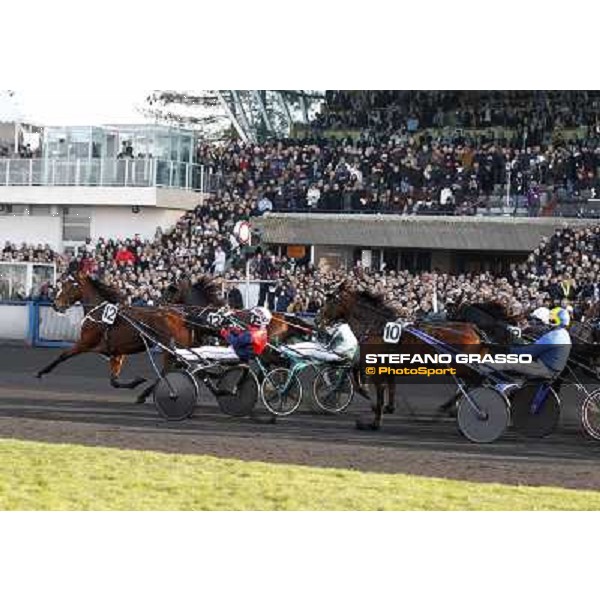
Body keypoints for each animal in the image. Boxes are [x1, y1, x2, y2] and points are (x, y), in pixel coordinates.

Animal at [35, 270, 199, 400]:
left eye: (68, 286)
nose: (55, 304)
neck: (99, 313)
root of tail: (182, 317)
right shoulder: (117, 352)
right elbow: (113, 381)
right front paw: (136, 381)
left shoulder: (85, 343)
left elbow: (63, 355)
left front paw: (41, 372)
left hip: (168, 348)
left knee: (167, 371)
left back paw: (147, 394)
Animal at [318, 282, 482, 432]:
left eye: (330, 300)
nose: (319, 319)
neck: (377, 327)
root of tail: (474, 330)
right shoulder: (387, 367)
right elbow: (386, 387)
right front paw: (387, 407)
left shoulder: (377, 368)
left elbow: (377, 392)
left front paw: (375, 421)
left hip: (460, 366)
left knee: (473, 381)